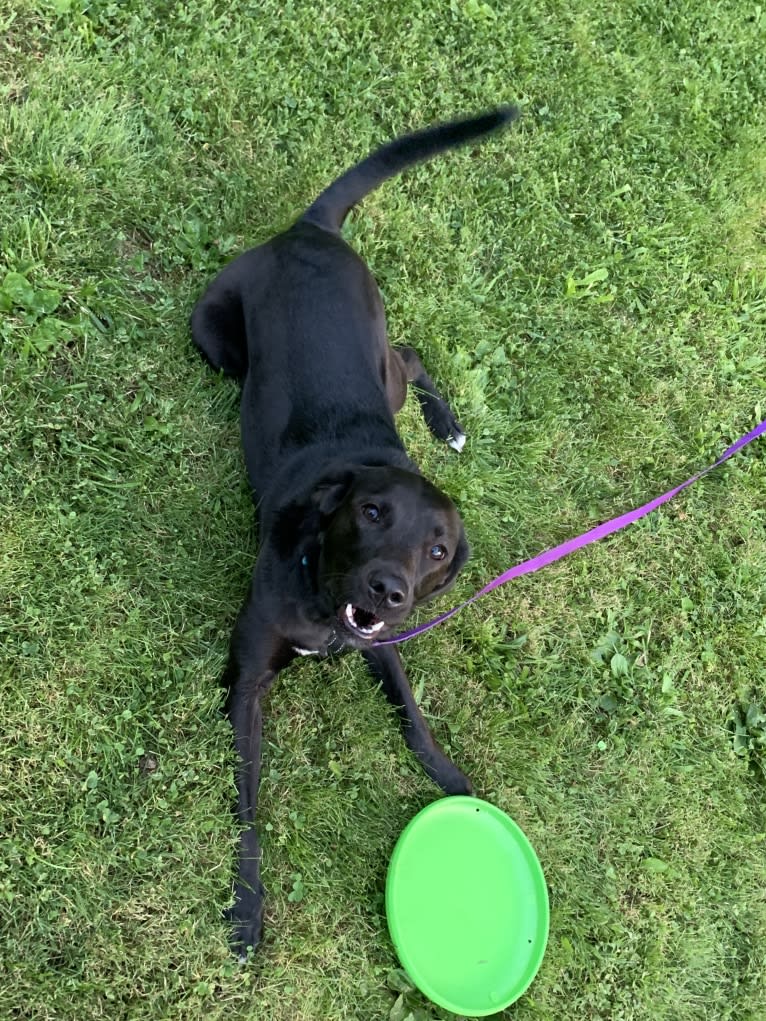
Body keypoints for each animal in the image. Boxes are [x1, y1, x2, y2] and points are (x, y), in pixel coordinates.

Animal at [193, 107, 522, 951]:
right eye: (371, 512)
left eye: (438, 550)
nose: (391, 587)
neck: (323, 591)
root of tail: (311, 230)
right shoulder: (245, 682)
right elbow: (247, 806)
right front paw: (246, 906)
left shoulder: (383, 645)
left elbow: (412, 719)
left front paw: (452, 779)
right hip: (214, 337)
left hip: (381, 366)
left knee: (409, 350)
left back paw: (449, 425)